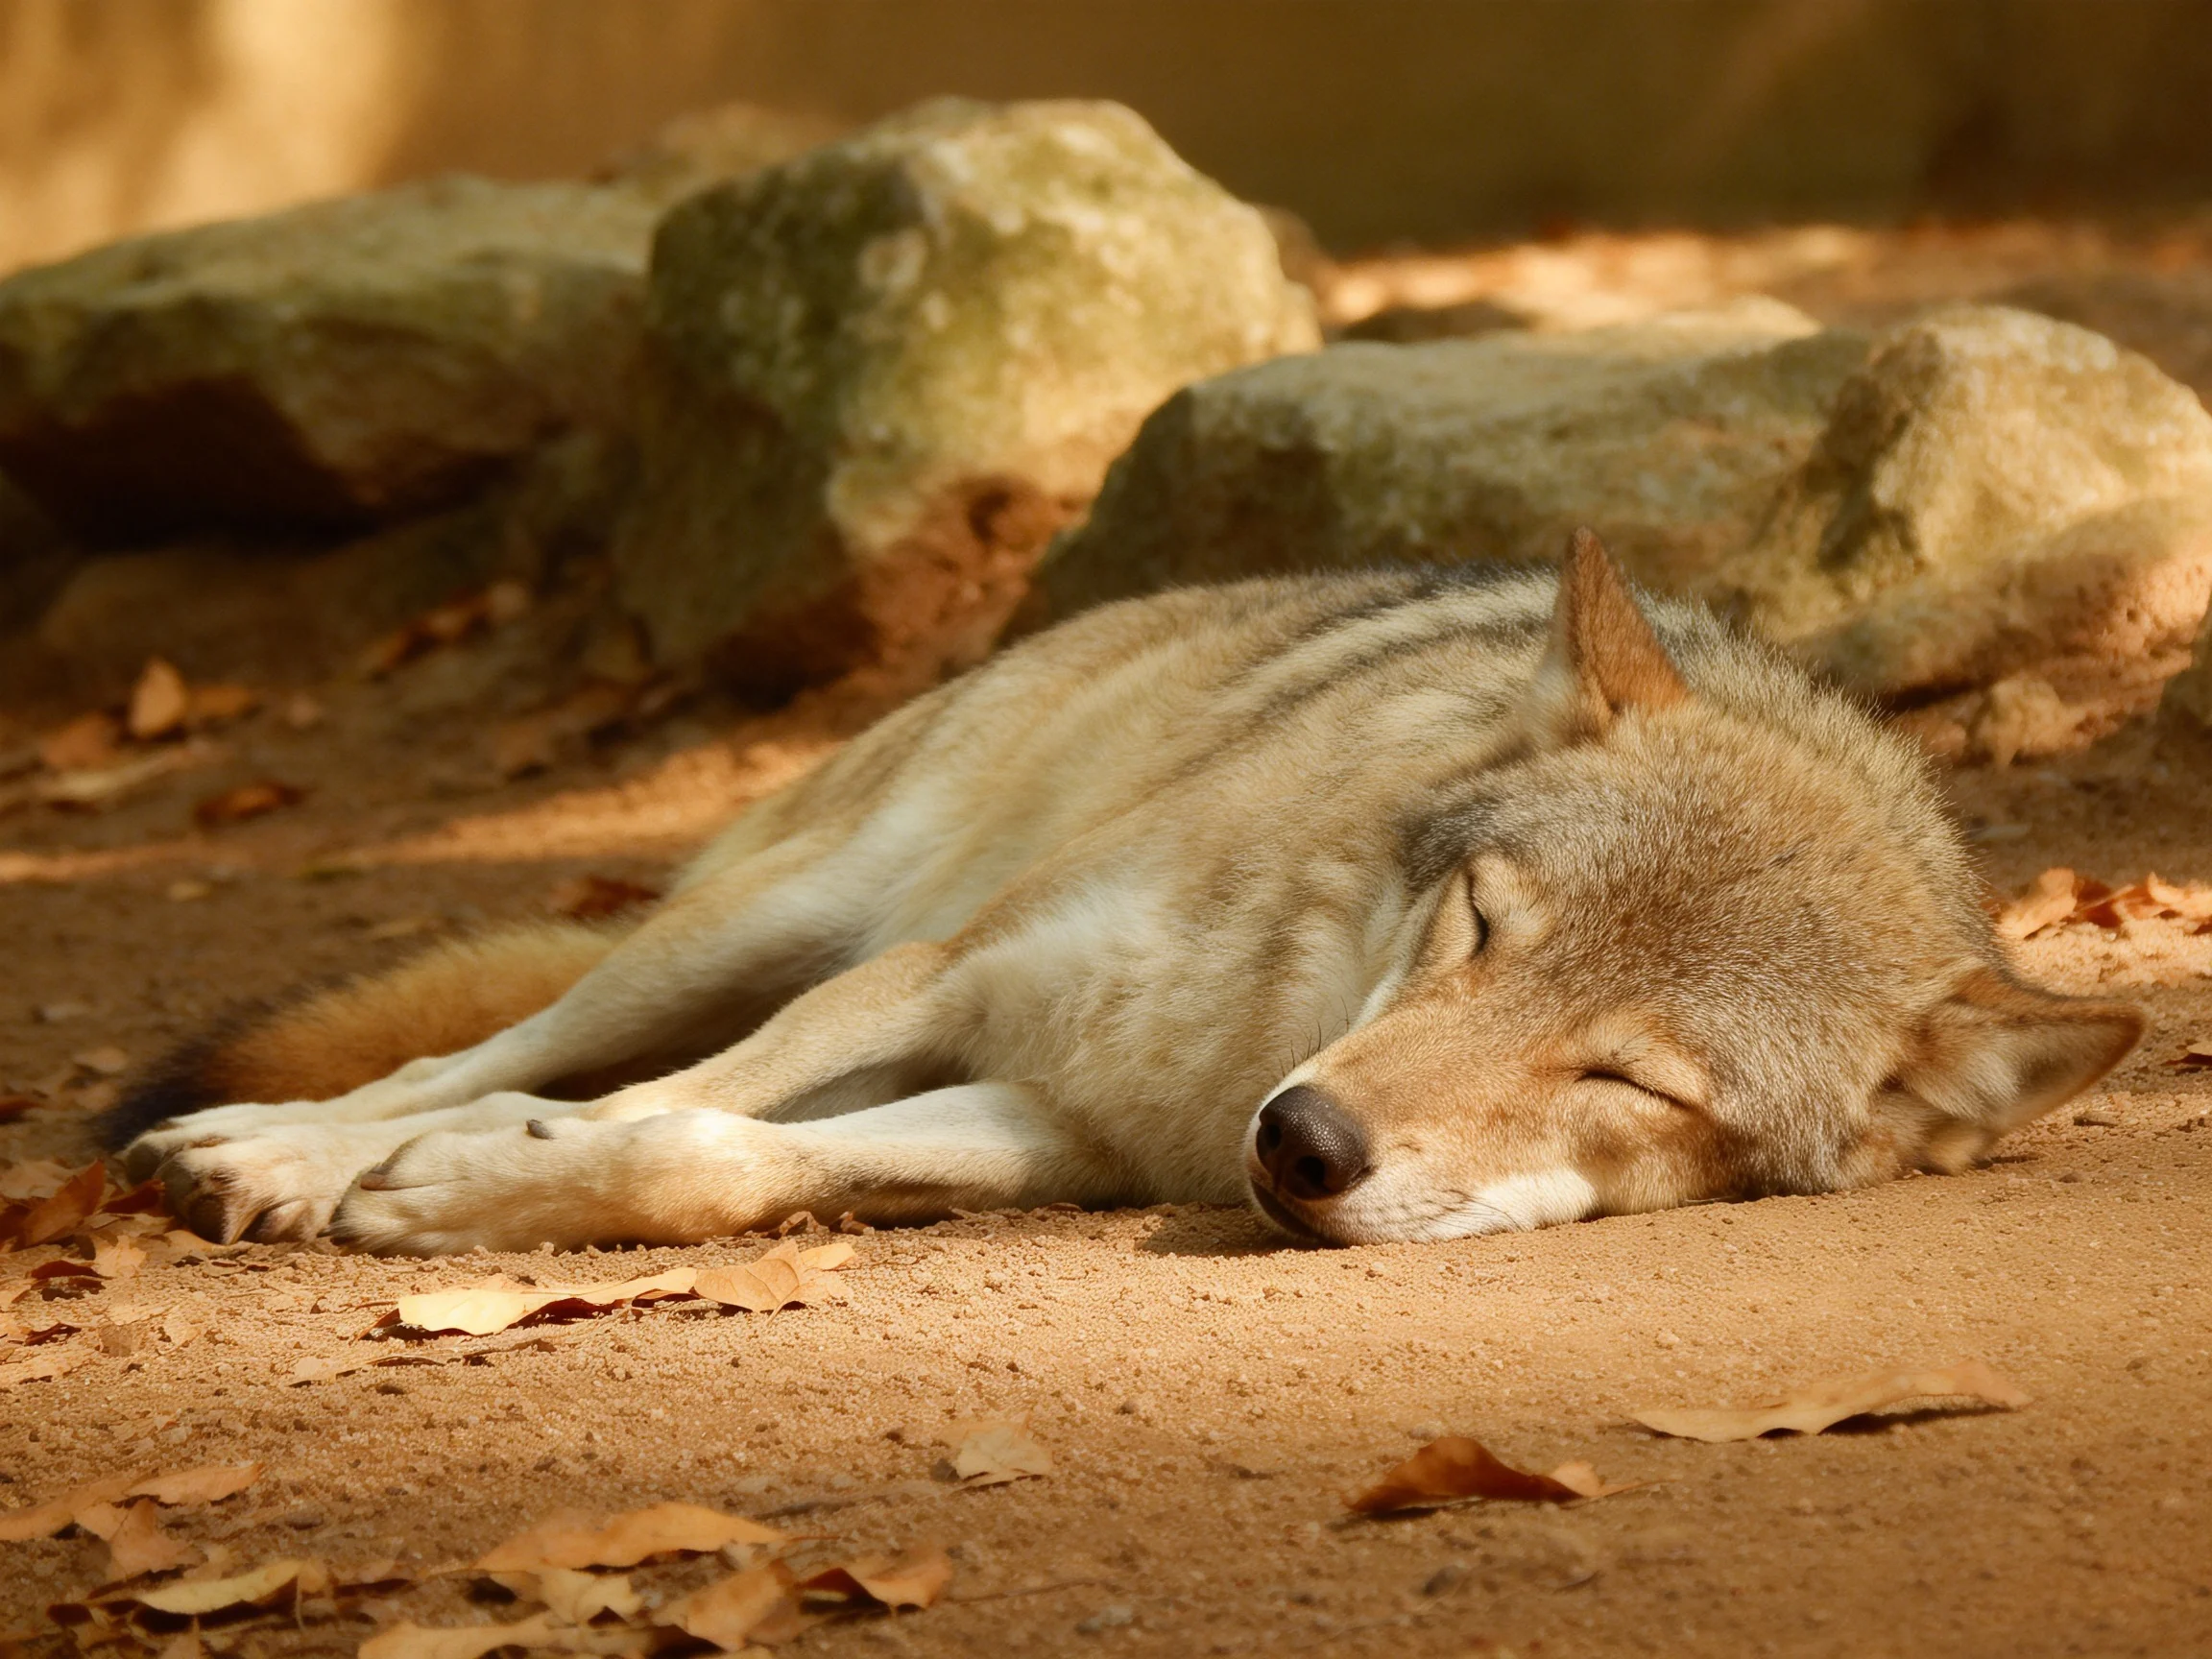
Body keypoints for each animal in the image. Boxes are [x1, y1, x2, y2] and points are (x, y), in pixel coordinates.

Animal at [105, 532, 2141, 1254]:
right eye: (1485, 925)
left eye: (1627, 1078)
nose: (1302, 1142)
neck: (1253, 1022)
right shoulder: (942, 973)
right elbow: (654, 1105)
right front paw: (397, 1175)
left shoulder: (1057, 1122)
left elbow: (704, 1153)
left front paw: (483, 1195)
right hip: (762, 928)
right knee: (491, 1045)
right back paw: (262, 1145)